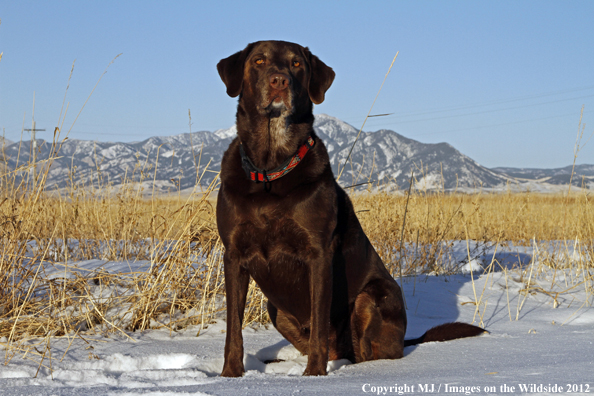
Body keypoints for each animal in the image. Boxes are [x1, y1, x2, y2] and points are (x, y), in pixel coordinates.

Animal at [215, 40, 484, 378]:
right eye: (259, 61)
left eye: (296, 64)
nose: (279, 81)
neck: (271, 169)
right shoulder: (234, 255)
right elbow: (233, 329)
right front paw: (230, 375)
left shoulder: (319, 254)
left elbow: (318, 321)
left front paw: (314, 375)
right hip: (276, 308)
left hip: (372, 297)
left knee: (368, 354)